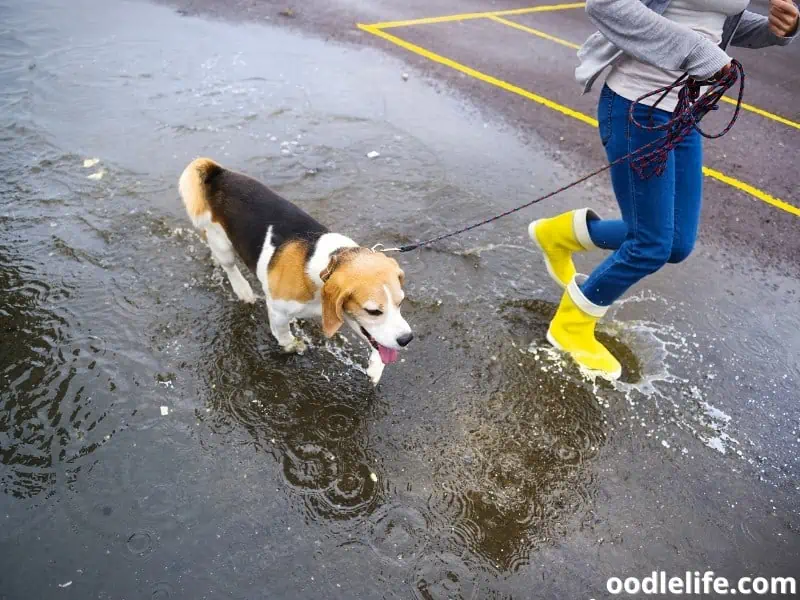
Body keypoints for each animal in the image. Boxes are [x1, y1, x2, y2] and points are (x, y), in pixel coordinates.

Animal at [179, 157, 416, 384]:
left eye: (400, 302)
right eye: (373, 311)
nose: (407, 339)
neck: (326, 265)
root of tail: (220, 173)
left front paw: (376, 365)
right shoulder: (277, 310)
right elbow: (283, 334)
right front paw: (293, 345)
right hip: (221, 242)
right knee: (229, 266)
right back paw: (242, 290)